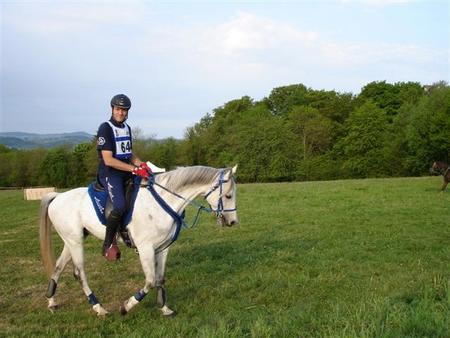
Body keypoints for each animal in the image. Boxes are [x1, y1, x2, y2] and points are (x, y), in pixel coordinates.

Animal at [40, 166, 237, 316]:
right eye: (228, 196)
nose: (233, 222)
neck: (163, 202)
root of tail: (57, 196)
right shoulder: (145, 248)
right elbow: (150, 281)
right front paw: (126, 307)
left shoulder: (163, 248)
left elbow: (160, 278)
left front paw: (164, 308)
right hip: (75, 242)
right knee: (79, 273)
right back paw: (99, 308)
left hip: (72, 240)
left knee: (58, 267)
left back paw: (51, 301)